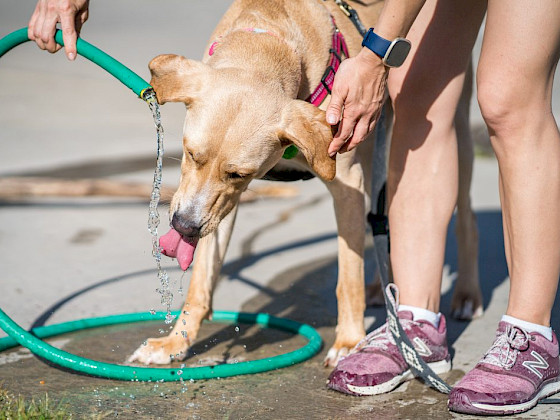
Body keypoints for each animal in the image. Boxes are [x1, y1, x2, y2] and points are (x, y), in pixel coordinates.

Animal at [128, 0, 482, 368]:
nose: (183, 227)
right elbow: (201, 281)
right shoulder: (217, 206)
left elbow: (348, 278)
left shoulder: (346, 184)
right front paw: (175, 342)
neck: (269, 38)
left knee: (465, 216)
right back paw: (380, 289)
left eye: (239, 174)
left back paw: (466, 294)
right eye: (190, 153)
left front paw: (349, 341)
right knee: (380, 219)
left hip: (449, 129)